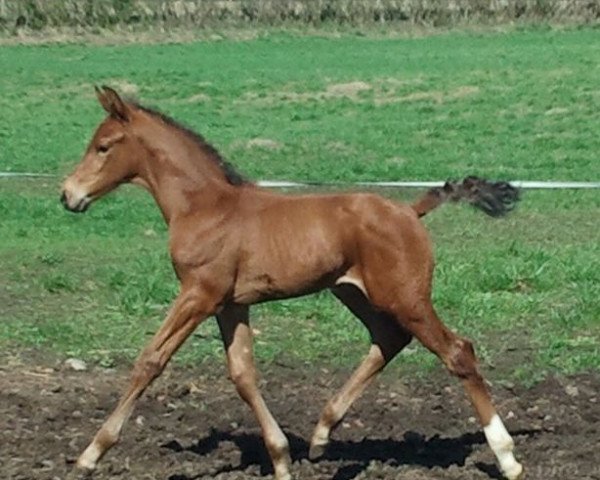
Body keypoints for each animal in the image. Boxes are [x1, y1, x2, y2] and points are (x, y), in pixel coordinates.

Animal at [58, 87, 524, 480]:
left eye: (103, 146)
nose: (68, 195)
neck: (206, 206)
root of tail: (410, 211)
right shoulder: (232, 303)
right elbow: (243, 374)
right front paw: (281, 457)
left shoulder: (199, 294)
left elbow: (150, 361)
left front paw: (89, 456)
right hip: (353, 291)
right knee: (389, 339)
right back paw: (321, 434)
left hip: (405, 297)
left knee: (457, 351)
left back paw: (507, 458)